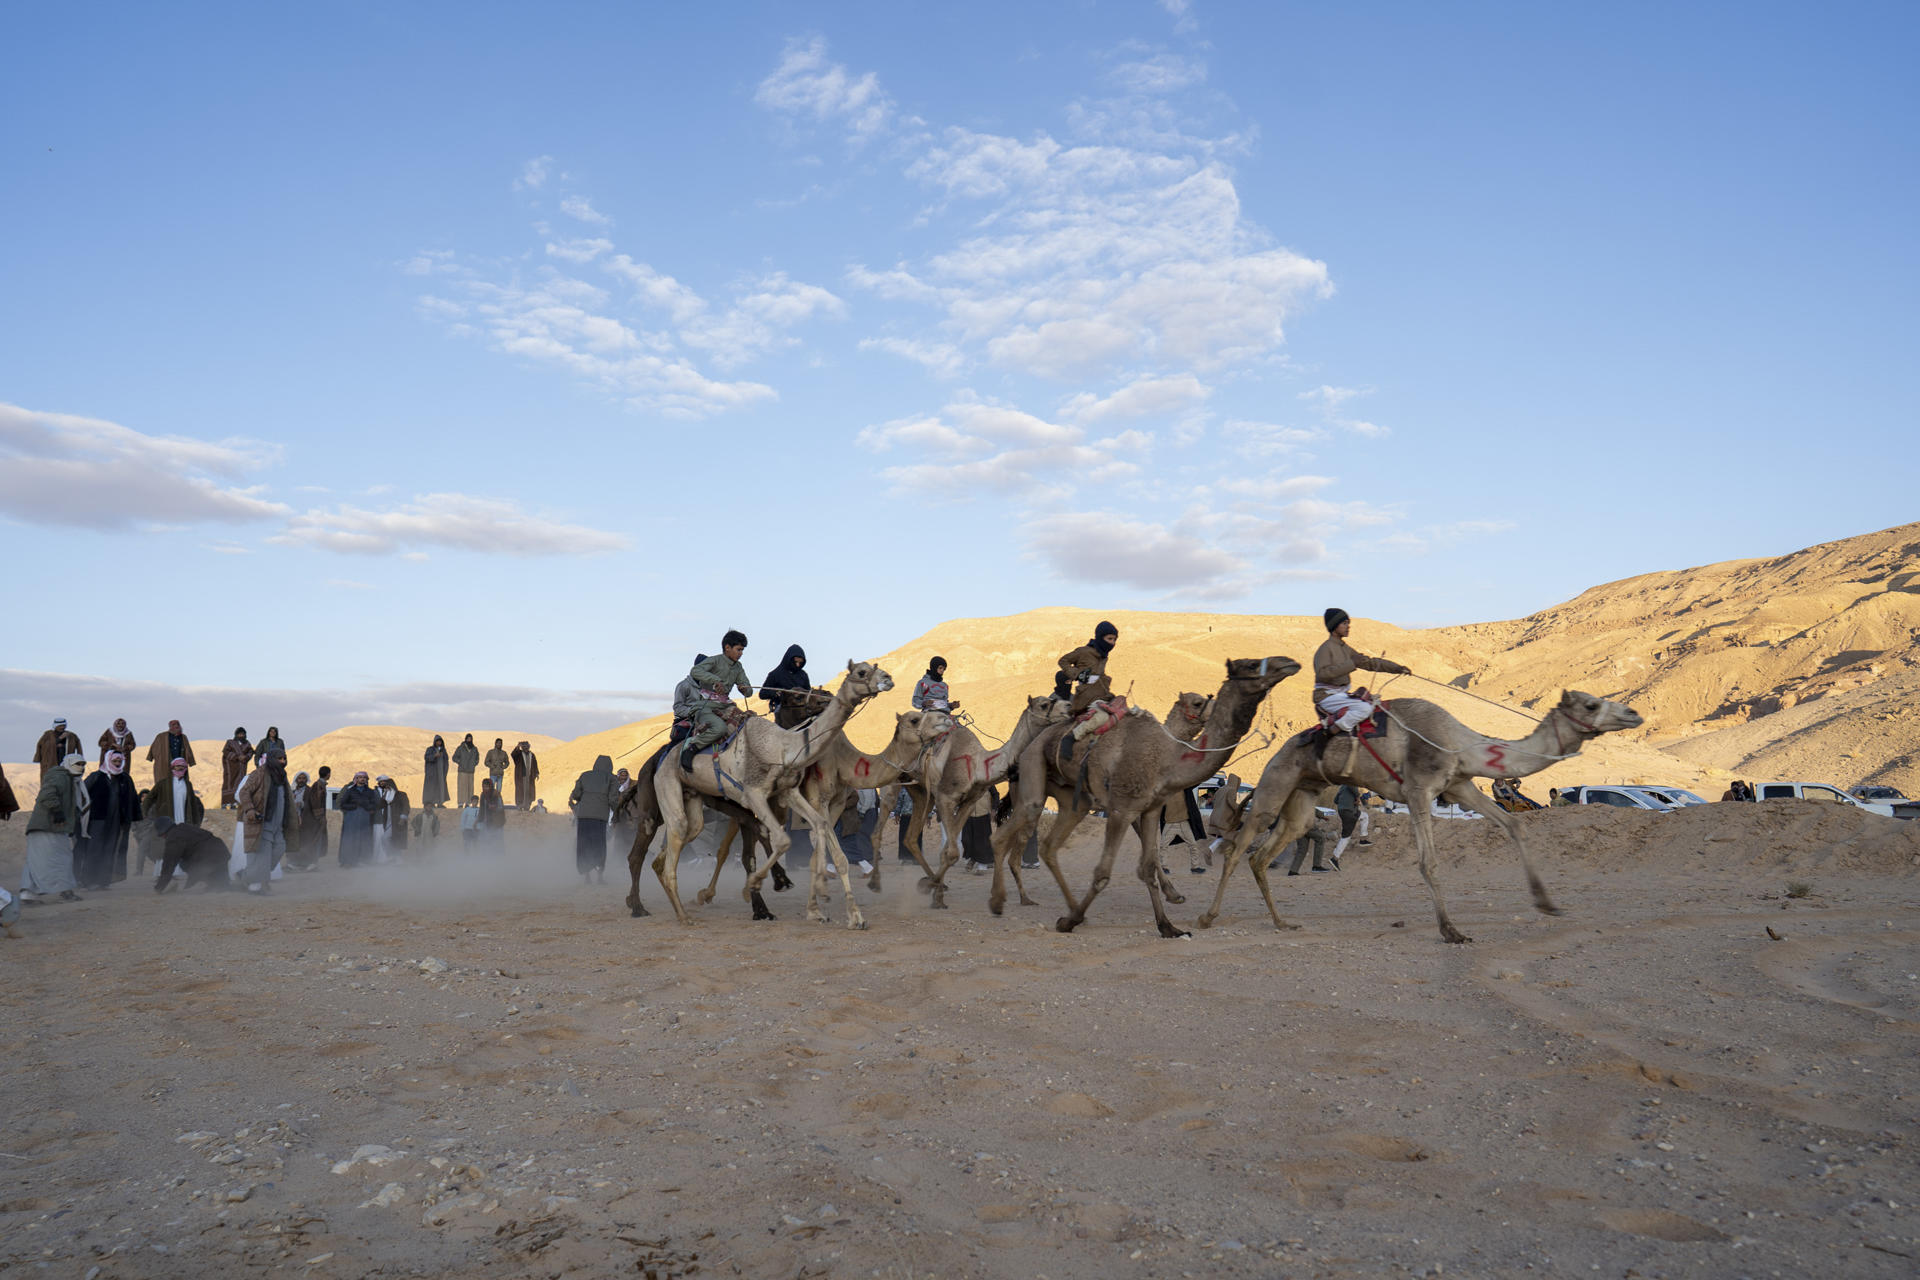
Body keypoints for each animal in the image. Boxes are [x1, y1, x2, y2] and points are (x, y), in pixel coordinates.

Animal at [641, 660, 887, 932]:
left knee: (684, 837)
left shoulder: (788, 793)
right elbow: (780, 841)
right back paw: (682, 915)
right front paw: (758, 887)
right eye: (861, 672)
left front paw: (827, 900)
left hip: (693, 797)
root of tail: (664, 757)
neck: (782, 747)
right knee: (676, 836)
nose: (887, 678)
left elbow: (819, 825)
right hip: (667, 786)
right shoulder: (753, 795)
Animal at [887, 702, 1082, 909]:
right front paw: (931, 888)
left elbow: (948, 851)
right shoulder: (945, 798)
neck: (978, 765)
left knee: (910, 837)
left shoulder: (968, 801)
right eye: (1044, 704)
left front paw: (937, 897)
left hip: (921, 791)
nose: (1068, 707)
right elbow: (952, 852)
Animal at [990, 656, 1305, 936]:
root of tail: (1026, 750)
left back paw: (1069, 907)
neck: (1167, 756)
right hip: (1033, 778)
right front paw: (1070, 922)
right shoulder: (1122, 809)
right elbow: (1104, 872)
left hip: (1074, 800)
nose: (1289, 662)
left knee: (1049, 846)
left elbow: (1149, 865)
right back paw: (999, 902)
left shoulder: (1151, 808)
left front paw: (1168, 924)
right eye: (1252, 664)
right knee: (1007, 832)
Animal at [1190, 687, 1643, 948]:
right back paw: (1207, 916)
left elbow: (1513, 824)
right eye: (1592, 704)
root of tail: (1281, 750)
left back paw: (1283, 923)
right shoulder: (1418, 788)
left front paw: (1547, 904)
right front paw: (1451, 930)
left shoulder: (1459, 787)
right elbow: (1429, 862)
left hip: (1302, 796)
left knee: (1265, 853)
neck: (1461, 744)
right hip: (1275, 783)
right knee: (1239, 847)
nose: (1633, 714)